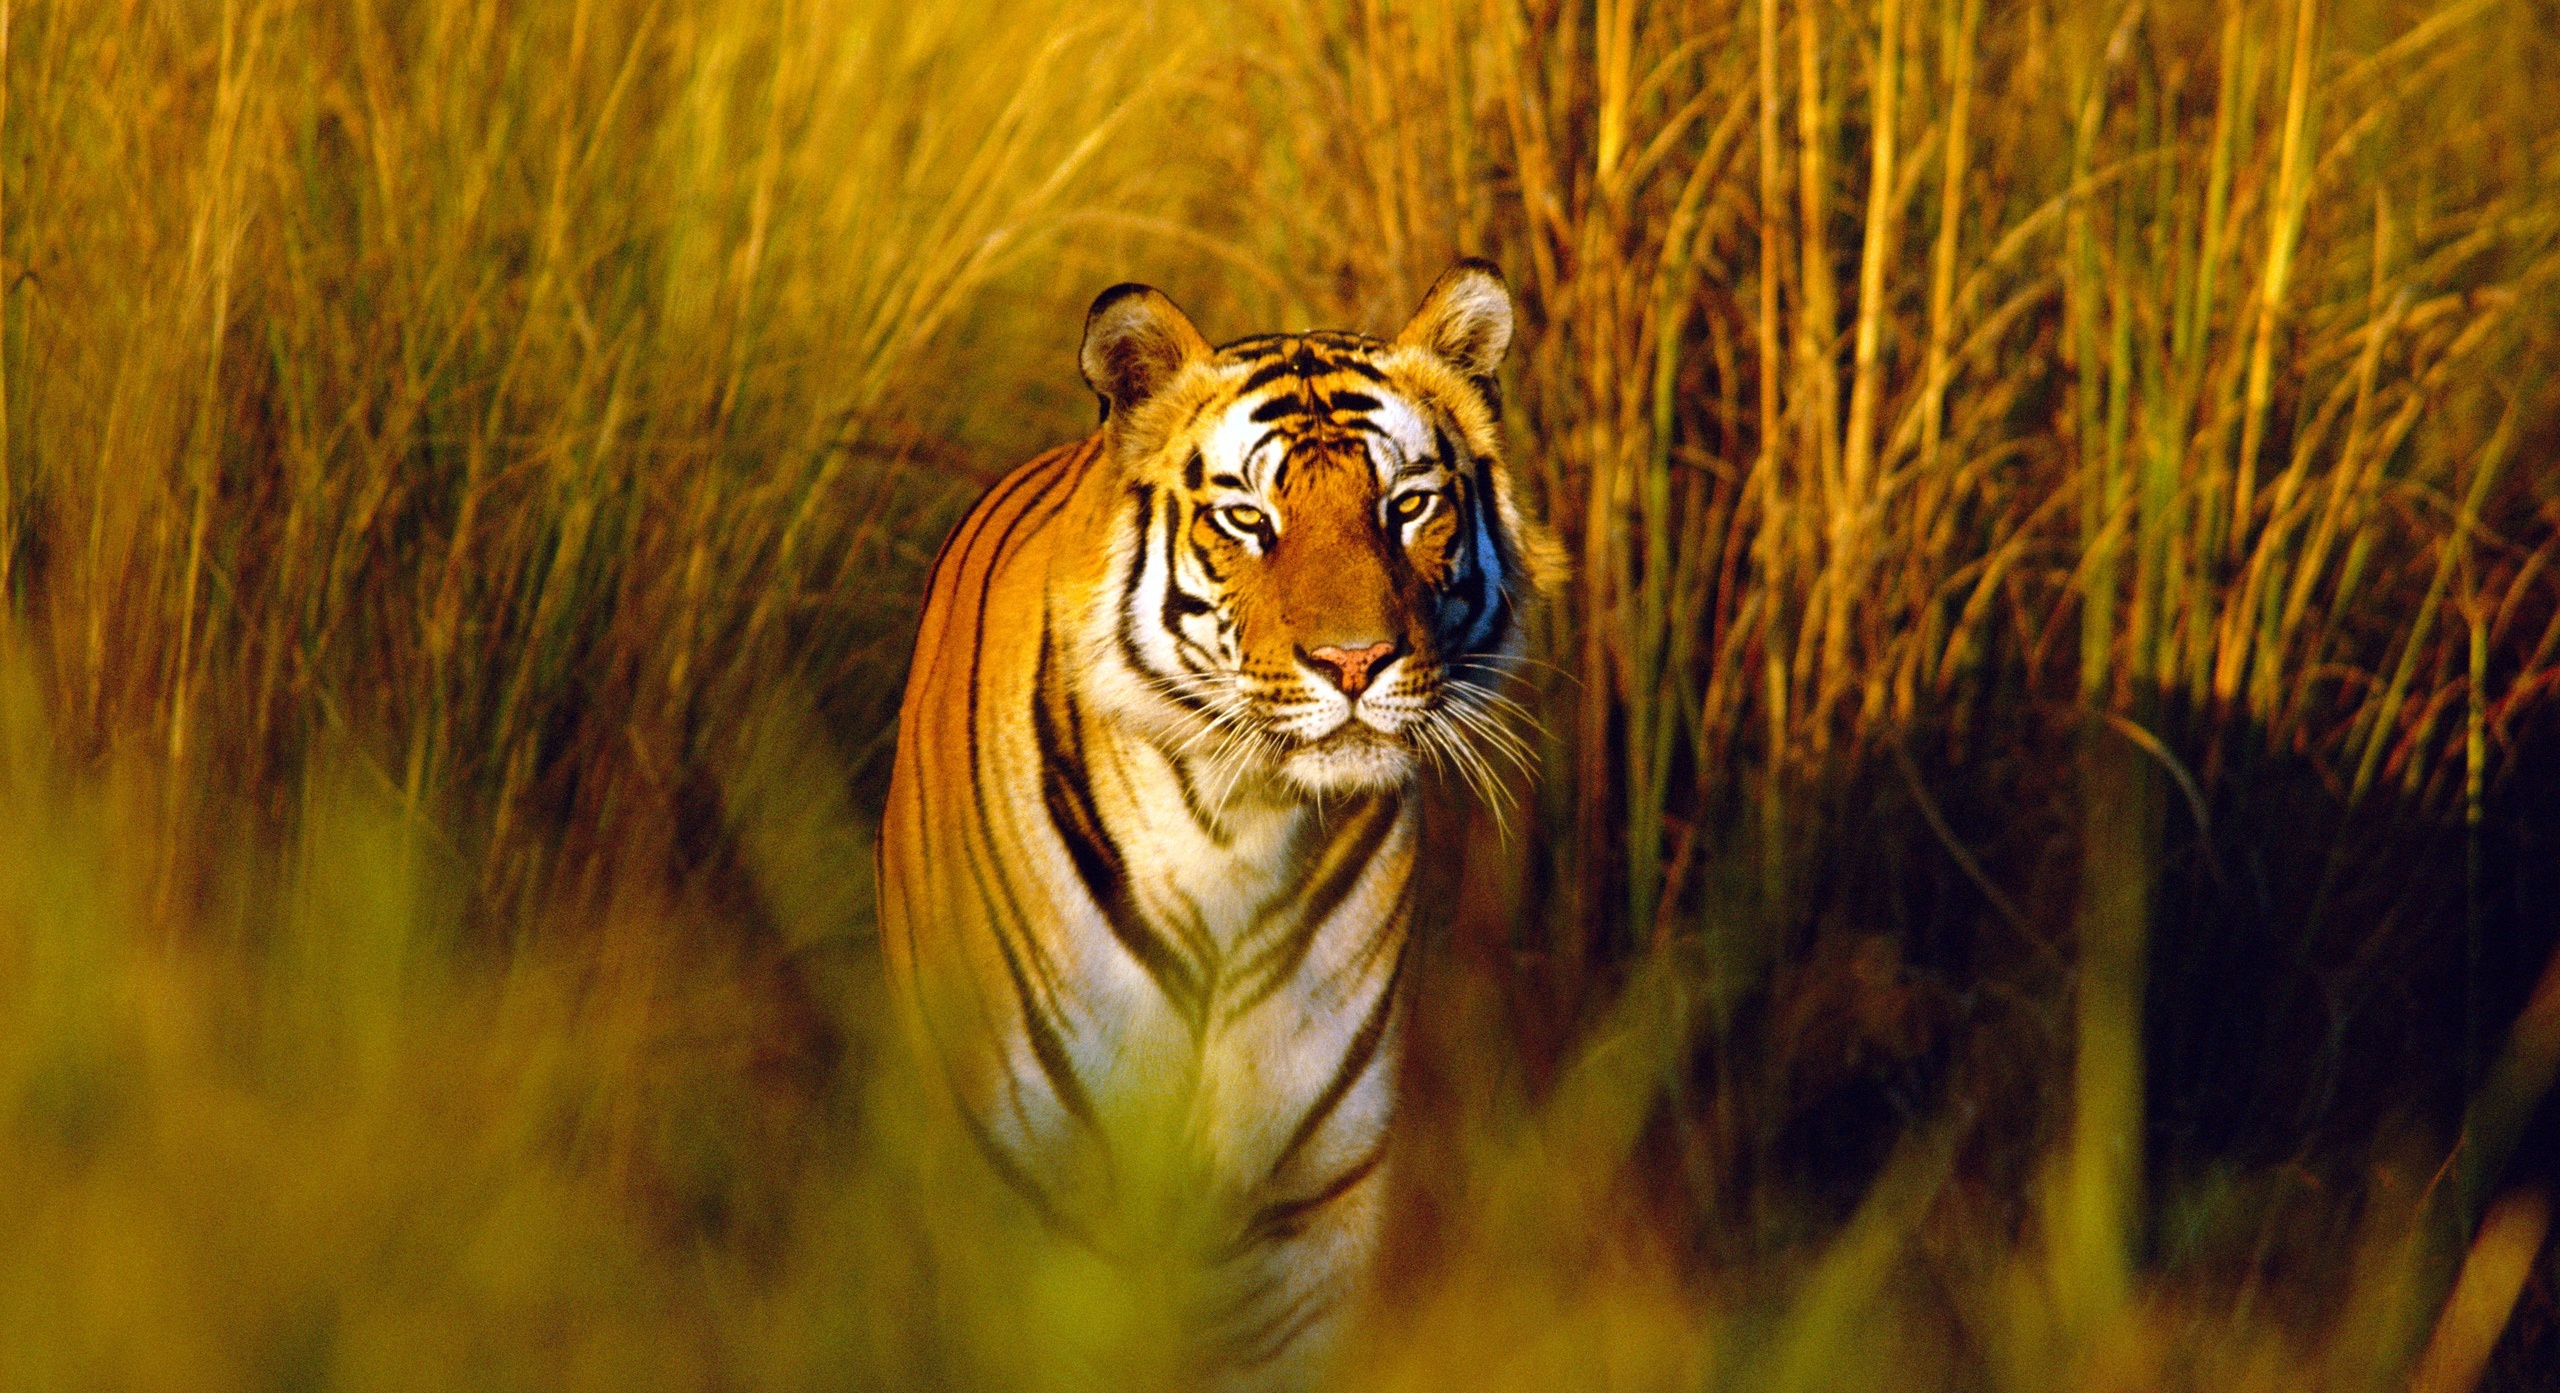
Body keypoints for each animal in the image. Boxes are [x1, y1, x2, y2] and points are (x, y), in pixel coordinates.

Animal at [877, 259, 1560, 1390]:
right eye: (1248, 519)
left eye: (1408, 506)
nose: (1355, 662)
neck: (1238, 828)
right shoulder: (1028, 1189)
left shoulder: (1307, 1211)